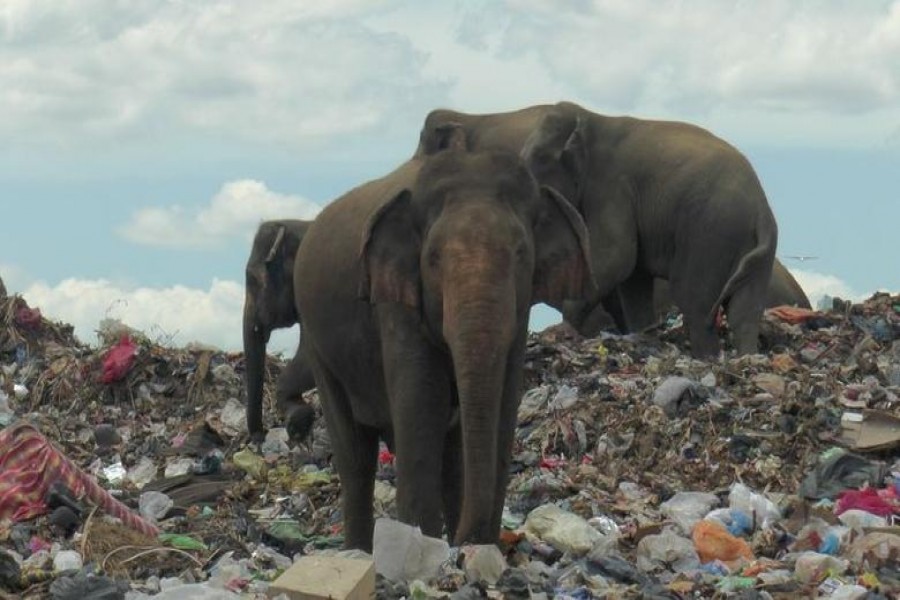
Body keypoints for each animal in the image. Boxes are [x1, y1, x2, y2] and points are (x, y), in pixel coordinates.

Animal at [292, 132, 596, 552]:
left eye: (521, 253)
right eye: (433, 258)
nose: (468, 543)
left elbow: (504, 402)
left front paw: (475, 551)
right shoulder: (395, 302)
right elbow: (425, 400)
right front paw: (422, 547)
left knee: (449, 455)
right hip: (318, 342)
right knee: (355, 456)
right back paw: (358, 553)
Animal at [418, 102, 776, 356]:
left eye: (536, 161)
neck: (591, 119)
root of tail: (761, 207)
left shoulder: (612, 185)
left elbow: (618, 256)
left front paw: (566, 329)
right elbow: (632, 277)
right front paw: (642, 334)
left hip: (710, 232)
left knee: (695, 302)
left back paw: (708, 360)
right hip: (746, 244)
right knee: (744, 310)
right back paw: (744, 358)